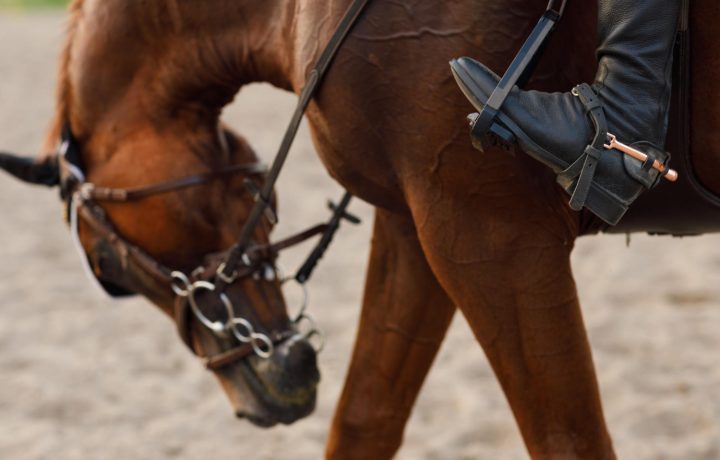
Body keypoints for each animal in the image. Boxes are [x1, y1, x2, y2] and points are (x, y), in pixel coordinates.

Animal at [2, 0, 716, 458]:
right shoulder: (422, 224)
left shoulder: (497, 234)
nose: (272, 392)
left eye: (108, 271)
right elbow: (364, 421)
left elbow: (568, 439)